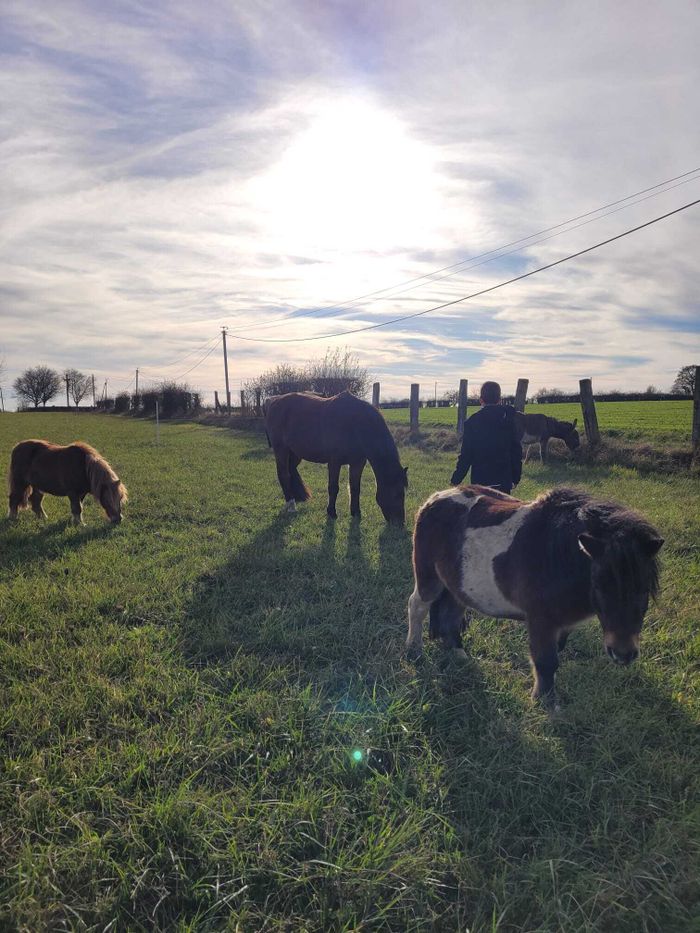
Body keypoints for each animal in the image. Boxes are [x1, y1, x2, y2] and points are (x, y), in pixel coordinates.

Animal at [264, 391, 408, 523]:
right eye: (397, 494)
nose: (399, 522)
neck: (354, 424)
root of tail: (273, 402)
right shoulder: (334, 462)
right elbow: (333, 487)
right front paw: (331, 512)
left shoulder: (357, 463)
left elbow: (355, 487)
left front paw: (356, 512)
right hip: (281, 450)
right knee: (284, 475)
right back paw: (291, 505)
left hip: (295, 453)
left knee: (291, 470)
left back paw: (299, 497)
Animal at [406, 485, 663, 708]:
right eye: (599, 585)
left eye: (644, 588)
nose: (623, 654)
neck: (558, 557)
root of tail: (434, 499)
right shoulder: (541, 619)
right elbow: (545, 661)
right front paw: (546, 704)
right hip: (428, 576)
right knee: (417, 606)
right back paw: (414, 650)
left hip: (456, 585)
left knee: (451, 614)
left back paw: (458, 654)